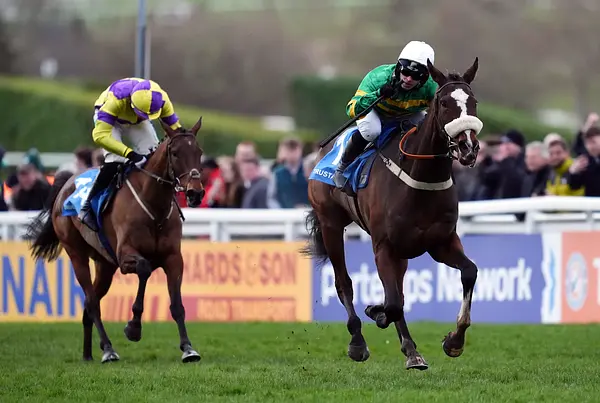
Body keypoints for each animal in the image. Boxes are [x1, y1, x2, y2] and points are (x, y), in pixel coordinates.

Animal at [24, 117, 206, 364]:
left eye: (199, 152)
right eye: (176, 153)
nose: (195, 193)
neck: (154, 205)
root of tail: (66, 184)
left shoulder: (173, 258)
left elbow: (177, 304)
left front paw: (188, 348)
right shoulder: (125, 256)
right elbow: (144, 269)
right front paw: (133, 328)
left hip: (105, 265)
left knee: (89, 304)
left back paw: (88, 354)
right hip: (77, 254)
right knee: (92, 302)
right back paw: (108, 349)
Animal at [303, 58, 483, 370]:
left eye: (473, 102)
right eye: (444, 102)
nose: (468, 147)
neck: (420, 179)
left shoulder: (441, 242)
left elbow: (469, 272)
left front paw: (454, 341)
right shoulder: (383, 246)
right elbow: (393, 303)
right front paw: (375, 313)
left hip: (401, 251)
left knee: (395, 290)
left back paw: (411, 351)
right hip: (330, 224)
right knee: (344, 283)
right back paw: (358, 341)